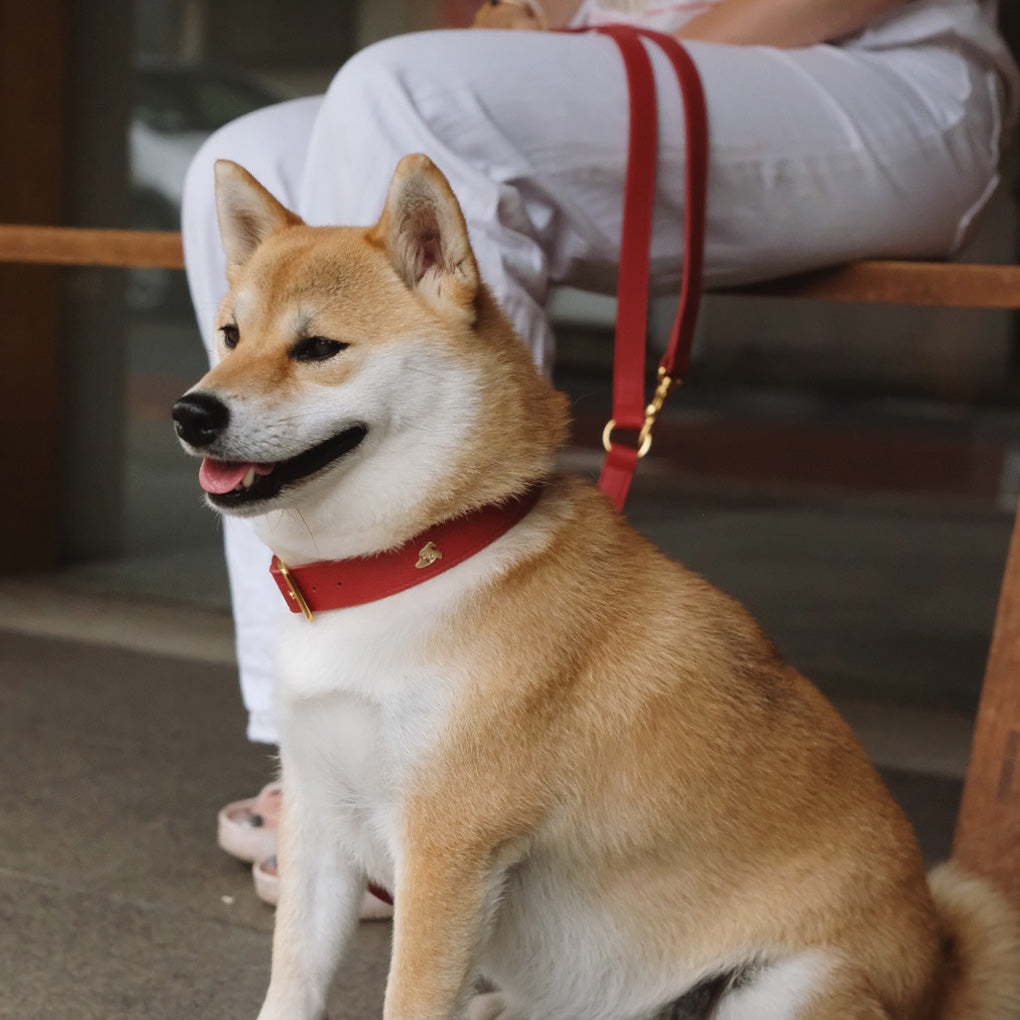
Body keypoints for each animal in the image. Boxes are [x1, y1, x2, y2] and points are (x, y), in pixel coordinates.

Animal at [171, 153, 1015, 1020]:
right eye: (230, 335)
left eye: (318, 347)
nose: (190, 412)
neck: (399, 570)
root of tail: (938, 974)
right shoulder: (319, 816)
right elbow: (293, 980)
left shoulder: (446, 846)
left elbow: (409, 999)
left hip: (786, 986)